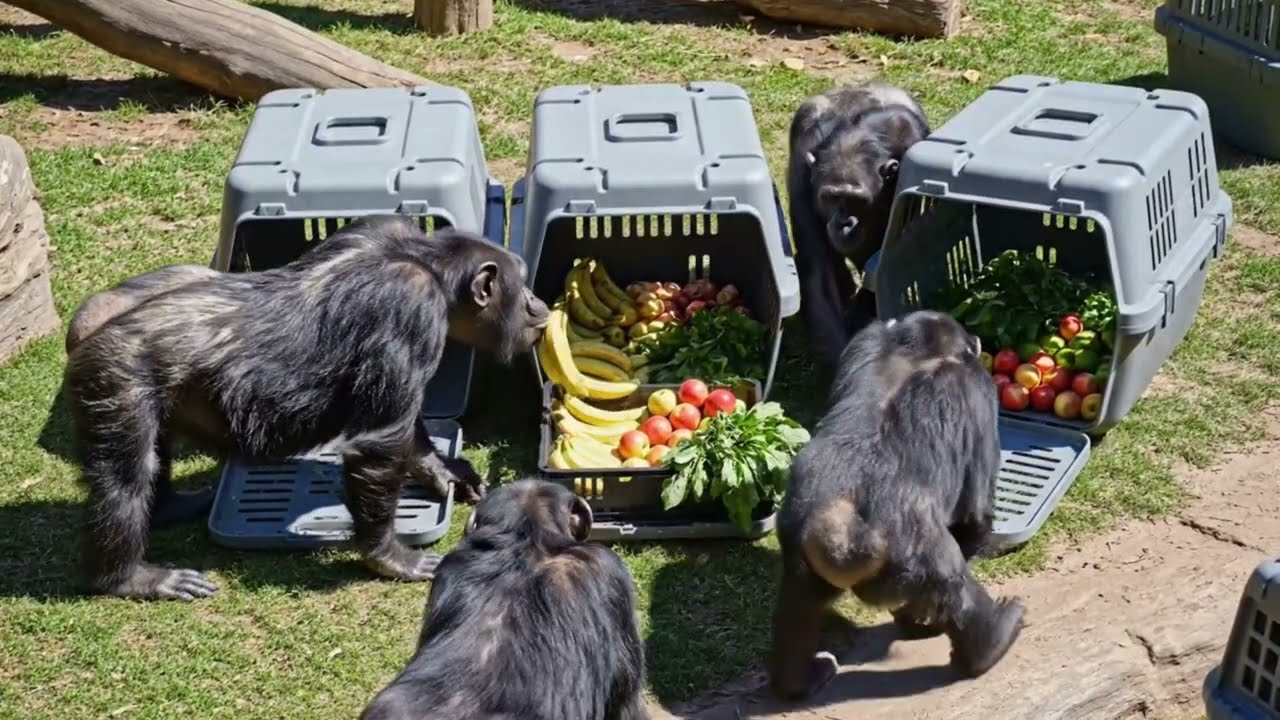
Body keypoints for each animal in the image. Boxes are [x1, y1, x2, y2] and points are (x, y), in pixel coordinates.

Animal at [64, 215, 550, 601]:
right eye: (519, 282)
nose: (538, 302)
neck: (425, 262)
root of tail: (86, 328)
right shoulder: (410, 308)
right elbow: (382, 440)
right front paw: (390, 558)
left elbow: (403, 428)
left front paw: (443, 471)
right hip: (116, 381)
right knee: (127, 479)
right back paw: (128, 577)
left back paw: (170, 507)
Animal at [767, 310, 1024, 700]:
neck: (918, 351)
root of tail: (843, 535)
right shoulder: (978, 387)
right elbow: (975, 511)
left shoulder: (865, 337)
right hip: (914, 553)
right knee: (952, 583)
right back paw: (991, 641)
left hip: (798, 536)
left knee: (798, 609)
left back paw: (799, 679)